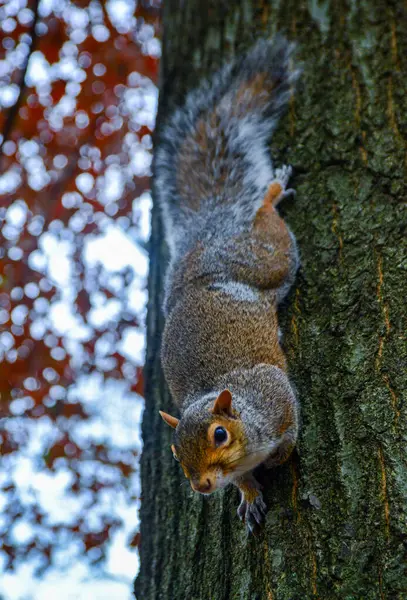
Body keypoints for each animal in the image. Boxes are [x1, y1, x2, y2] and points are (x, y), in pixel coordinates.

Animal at [156, 36, 300, 536]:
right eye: (175, 450)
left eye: (219, 434)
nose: (201, 486)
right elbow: (242, 482)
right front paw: (249, 494)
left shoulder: (275, 393)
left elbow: (289, 431)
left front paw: (275, 458)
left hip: (268, 259)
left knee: (269, 223)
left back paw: (273, 190)